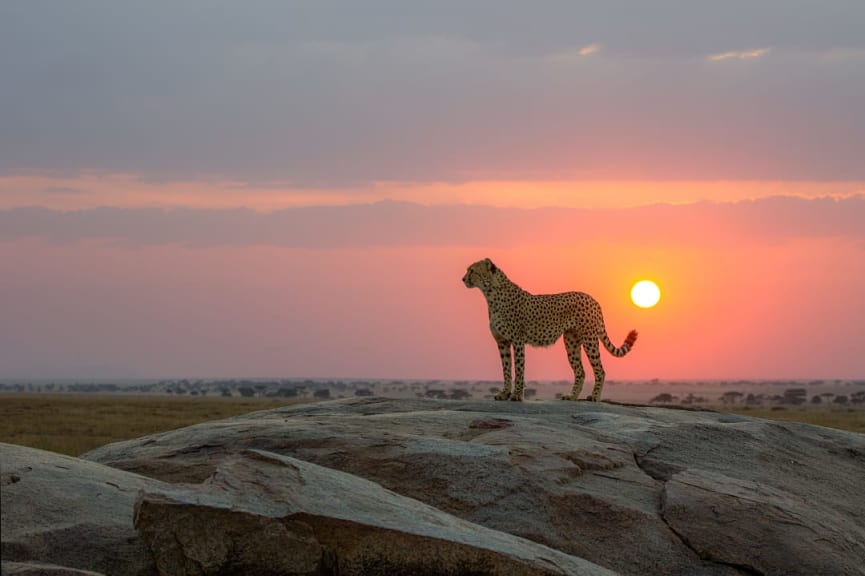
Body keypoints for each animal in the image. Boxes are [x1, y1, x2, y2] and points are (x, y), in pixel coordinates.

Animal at [462, 258, 636, 402]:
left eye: (472, 270)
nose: (463, 279)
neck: (491, 294)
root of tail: (592, 299)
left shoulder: (517, 341)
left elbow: (519, 368)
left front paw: (517, 395)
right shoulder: (502, 341)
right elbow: (506, 368)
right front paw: (504, 394)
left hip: (589, 339)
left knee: (600, 370)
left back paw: (595, 397)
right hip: (571, 342)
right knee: (580, 371)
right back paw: (571, 396)